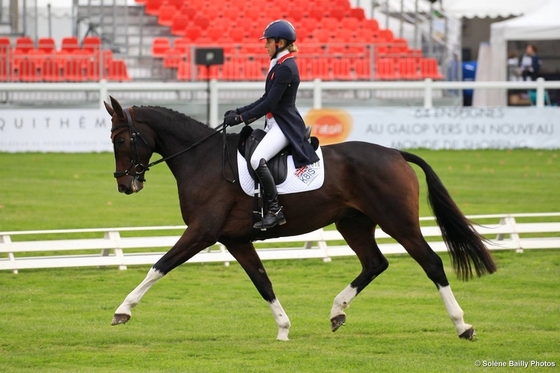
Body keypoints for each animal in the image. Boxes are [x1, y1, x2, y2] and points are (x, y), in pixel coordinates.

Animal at [104, 96, 494, 340]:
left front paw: (123, 311)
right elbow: (263, 283)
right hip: (353, 223)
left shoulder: (202, 232)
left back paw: (463, 326)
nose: (124, 185)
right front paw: (283, 329)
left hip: (398, 221)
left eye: (121, 140)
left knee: (431, 262)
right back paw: (337, 312)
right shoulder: (235, 239)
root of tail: (395, 153)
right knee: (374, 263)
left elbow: (160, 265)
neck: (203, 160)